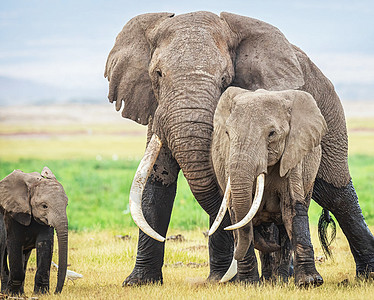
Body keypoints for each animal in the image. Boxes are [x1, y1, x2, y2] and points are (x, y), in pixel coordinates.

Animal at [210, 87, 328, 286]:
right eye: (227, 133)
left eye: (272, 134)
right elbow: (238, 213)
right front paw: (248, 284)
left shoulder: (293, 155)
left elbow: (292, 209)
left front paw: (310, 282)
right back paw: (269, 280)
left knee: (284, 227)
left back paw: (279, 279)